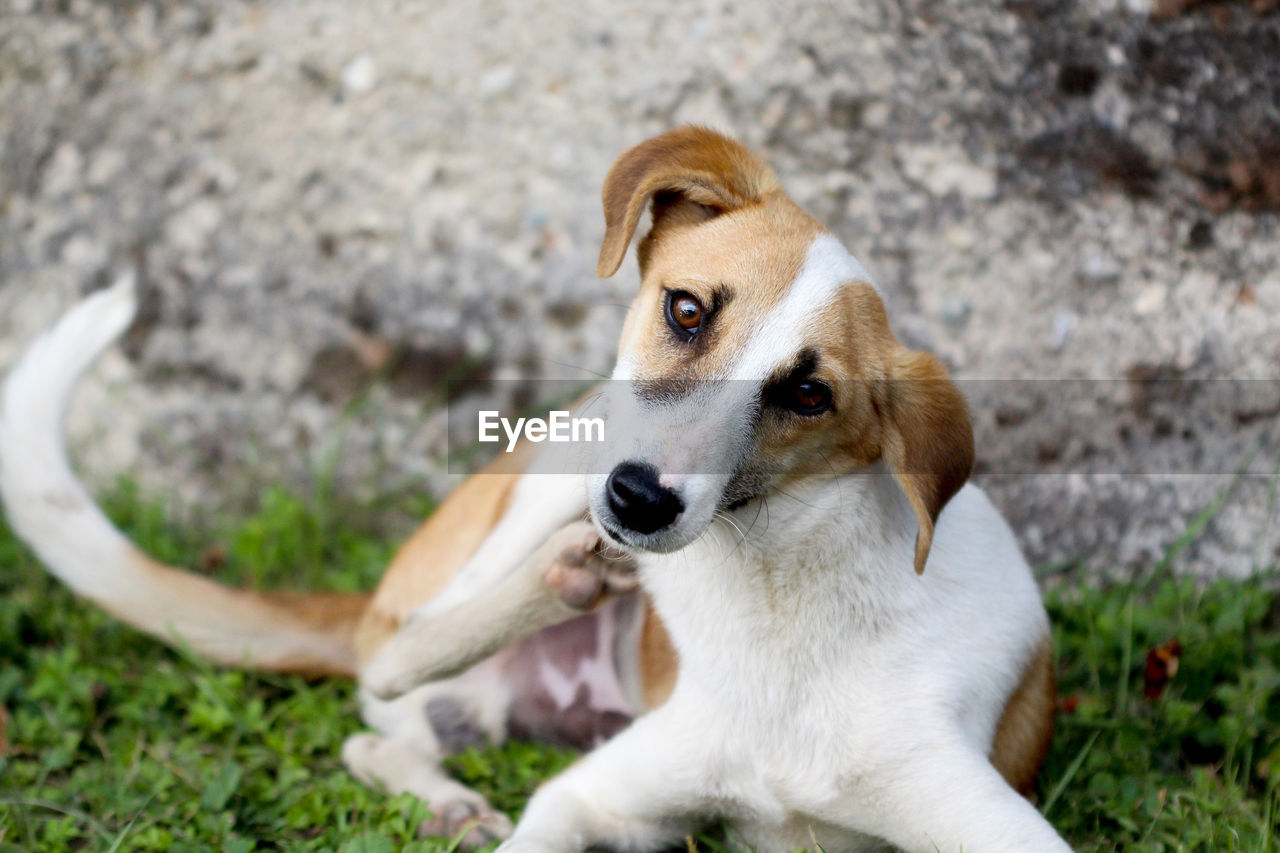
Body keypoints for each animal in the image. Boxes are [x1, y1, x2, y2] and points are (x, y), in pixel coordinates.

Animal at [0, 128, 1070, 850]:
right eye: (687, 309)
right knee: (390, 669)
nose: (640, 501)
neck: (779, 597)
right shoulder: (593, 795)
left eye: (809, 394)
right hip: (554, 461)